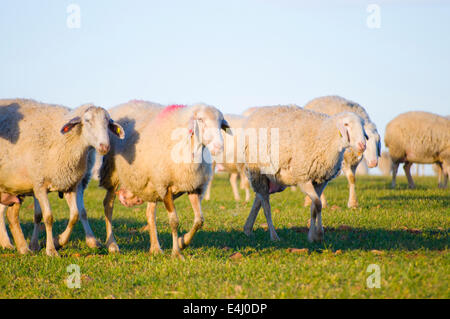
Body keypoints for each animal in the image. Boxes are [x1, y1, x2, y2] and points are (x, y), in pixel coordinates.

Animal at [0, 99, 125, 256]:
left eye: (108, 123)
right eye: (87, 120)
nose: (105, 146)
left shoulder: (70, 184)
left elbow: (76, 215)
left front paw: (58, 241)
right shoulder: (39, 185)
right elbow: (47, 217)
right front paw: (51, 250)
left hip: (15, 186)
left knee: (10, 214)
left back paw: (21, 248)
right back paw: (11, 244)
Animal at [100, 101, 230, 258]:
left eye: (220, 123)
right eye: (200, 119)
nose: (219, 147)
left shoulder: (193, 186)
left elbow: (199, 220)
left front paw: (182, 242)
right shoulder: (165, 186)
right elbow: (174, 221)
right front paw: (177, 253)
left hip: (151, 184)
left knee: (150, 213)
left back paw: (155, 248)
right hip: (113, 173)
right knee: (108, 205)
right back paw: (112, 244)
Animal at [243, 105, 366, 242]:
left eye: (362, 125)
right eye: (346, 124)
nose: (363, 145)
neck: (325, 137)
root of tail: (257, 112)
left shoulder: (321, 181)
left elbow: (315, 207)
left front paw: (313, 236)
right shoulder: (303, 178)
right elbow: (317, 204)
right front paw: (318, 234)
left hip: (271, 178)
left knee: (258, 199)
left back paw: (247, 229)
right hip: (258, 173)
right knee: (266, 205)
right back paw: (274, 236)